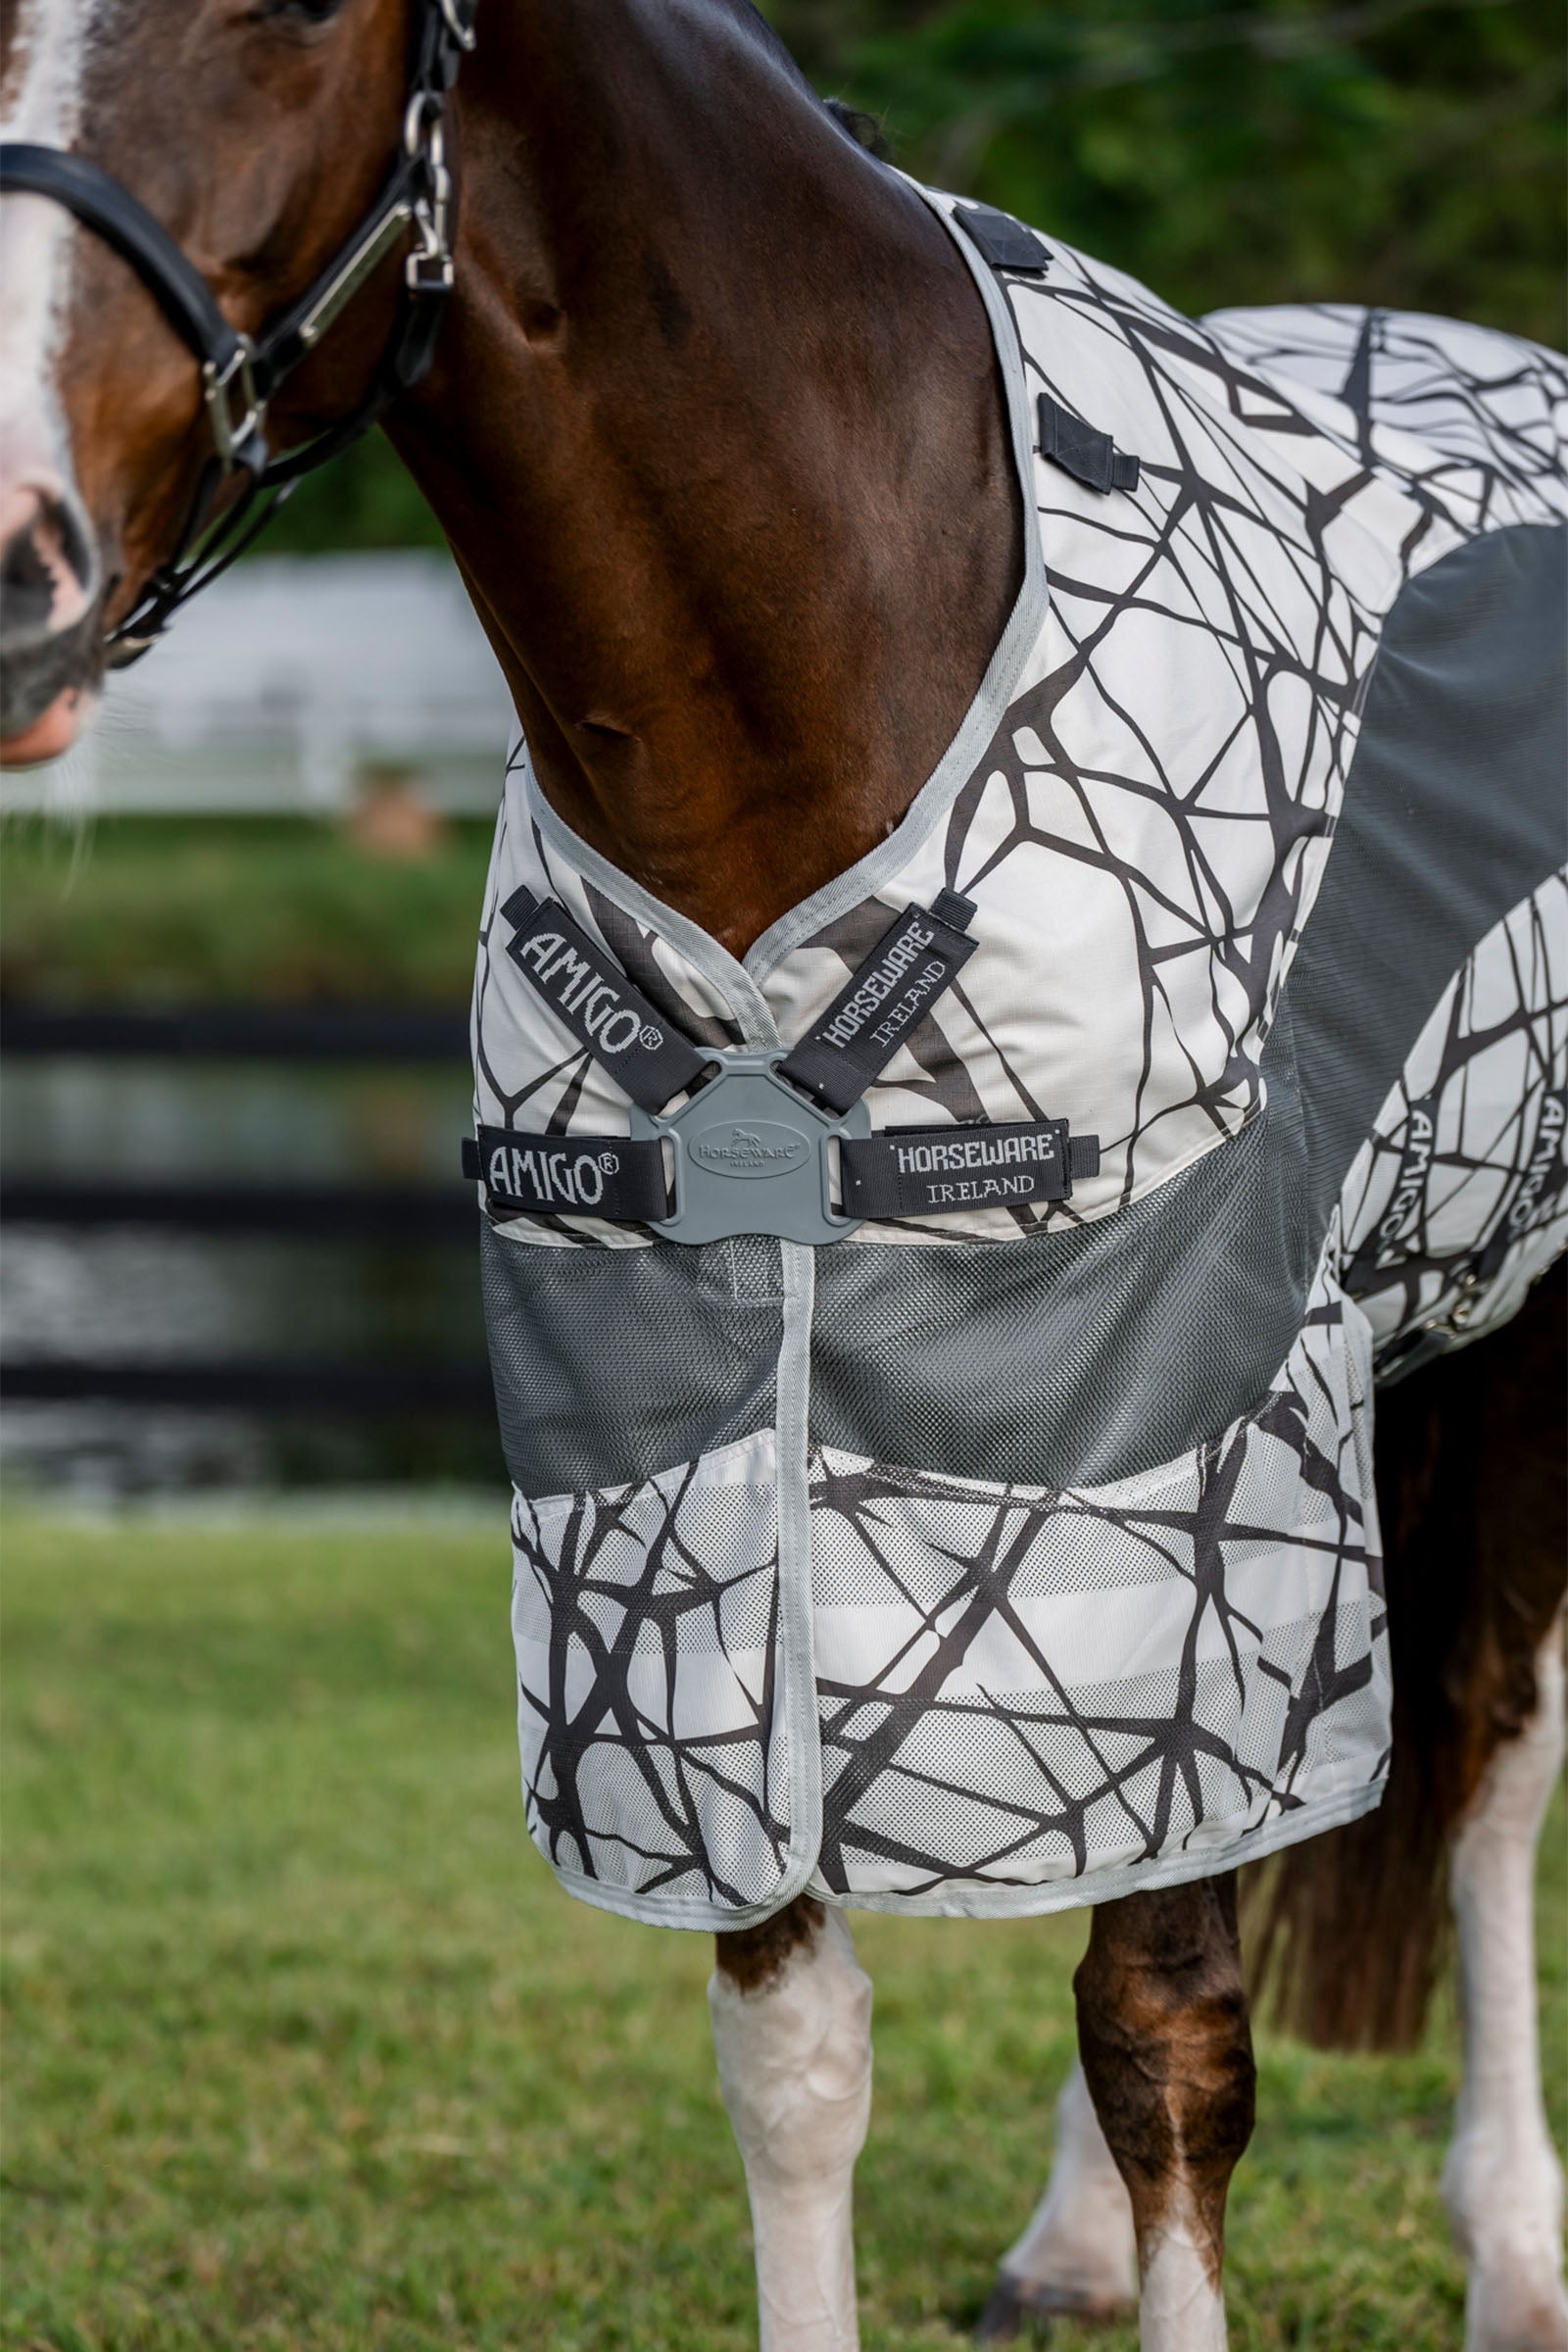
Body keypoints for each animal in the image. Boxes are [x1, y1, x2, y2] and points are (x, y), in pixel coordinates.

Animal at [2, 6, 1563, 2347]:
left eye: (292, 22)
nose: (11, 561)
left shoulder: (1158, 1435)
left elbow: (1175, 2040)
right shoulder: (706, 1516)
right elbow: (803, 2057)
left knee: (1479, 1762)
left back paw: (1515, 2251)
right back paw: (1065, 2245)